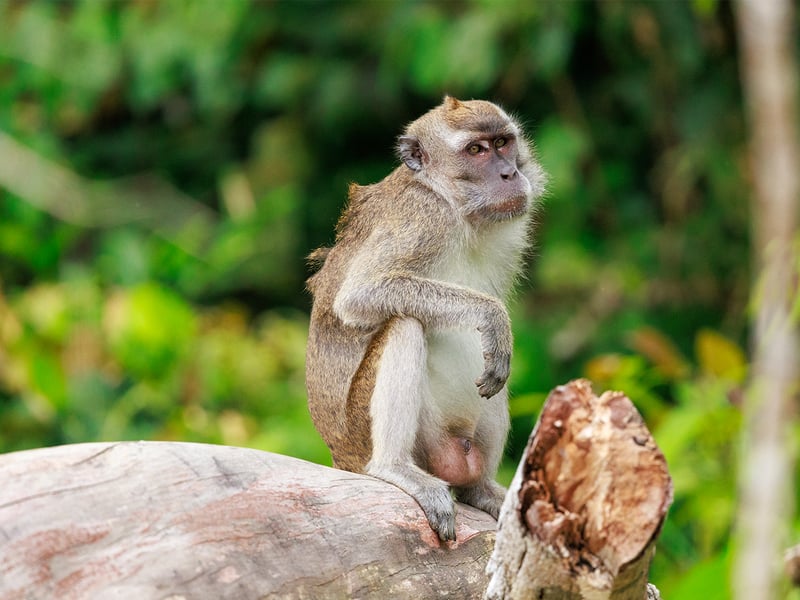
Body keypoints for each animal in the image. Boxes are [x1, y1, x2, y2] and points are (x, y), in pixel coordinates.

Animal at [305, 96, 545, 542]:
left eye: (503, 143)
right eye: (476, 150)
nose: (509, 173)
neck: (451, 203)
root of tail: (339, 456)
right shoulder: (423, 218)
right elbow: (360, 294)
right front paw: (492, 315)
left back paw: (478, 488)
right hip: (370, 438)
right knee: (405, 324)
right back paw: (394, 467)